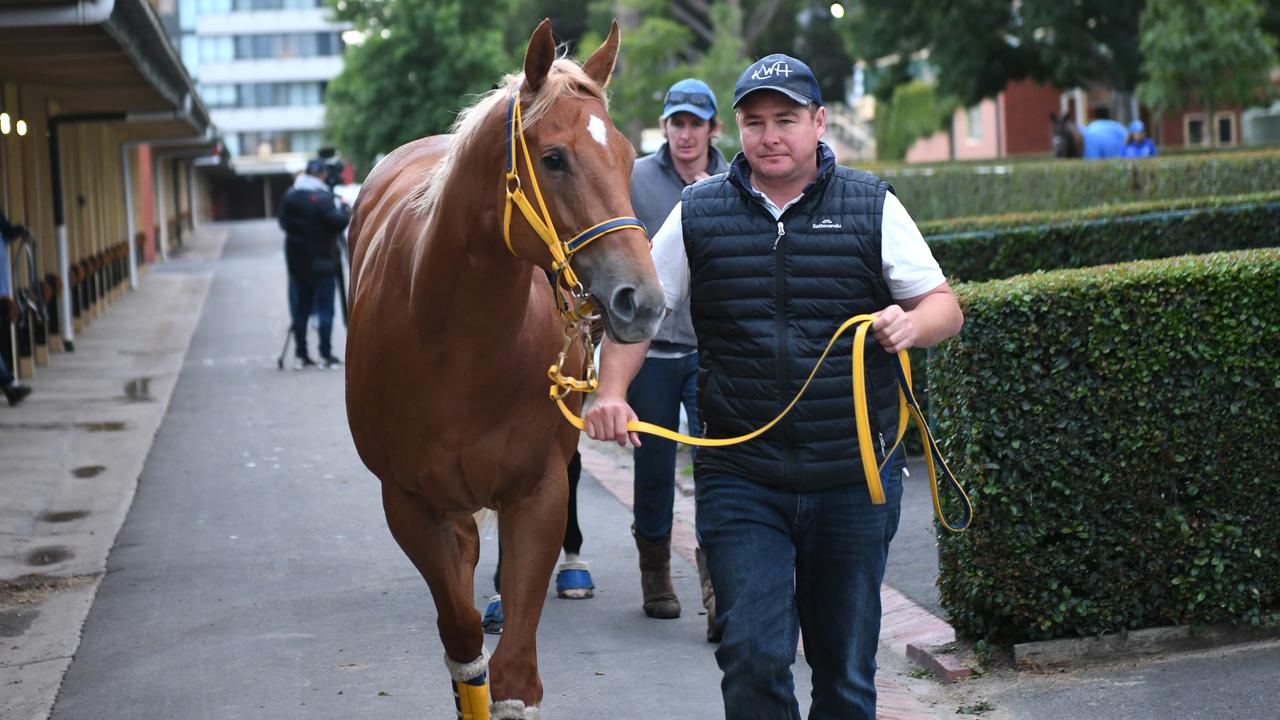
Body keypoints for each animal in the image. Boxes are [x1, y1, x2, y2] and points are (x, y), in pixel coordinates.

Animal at [343, 18, 660, 717]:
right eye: (555, 158)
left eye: (629, 157)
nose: (643, 301)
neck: (455, 344)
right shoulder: (407, 502)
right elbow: (463, 642)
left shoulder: (535, 492)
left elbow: (516, 671)